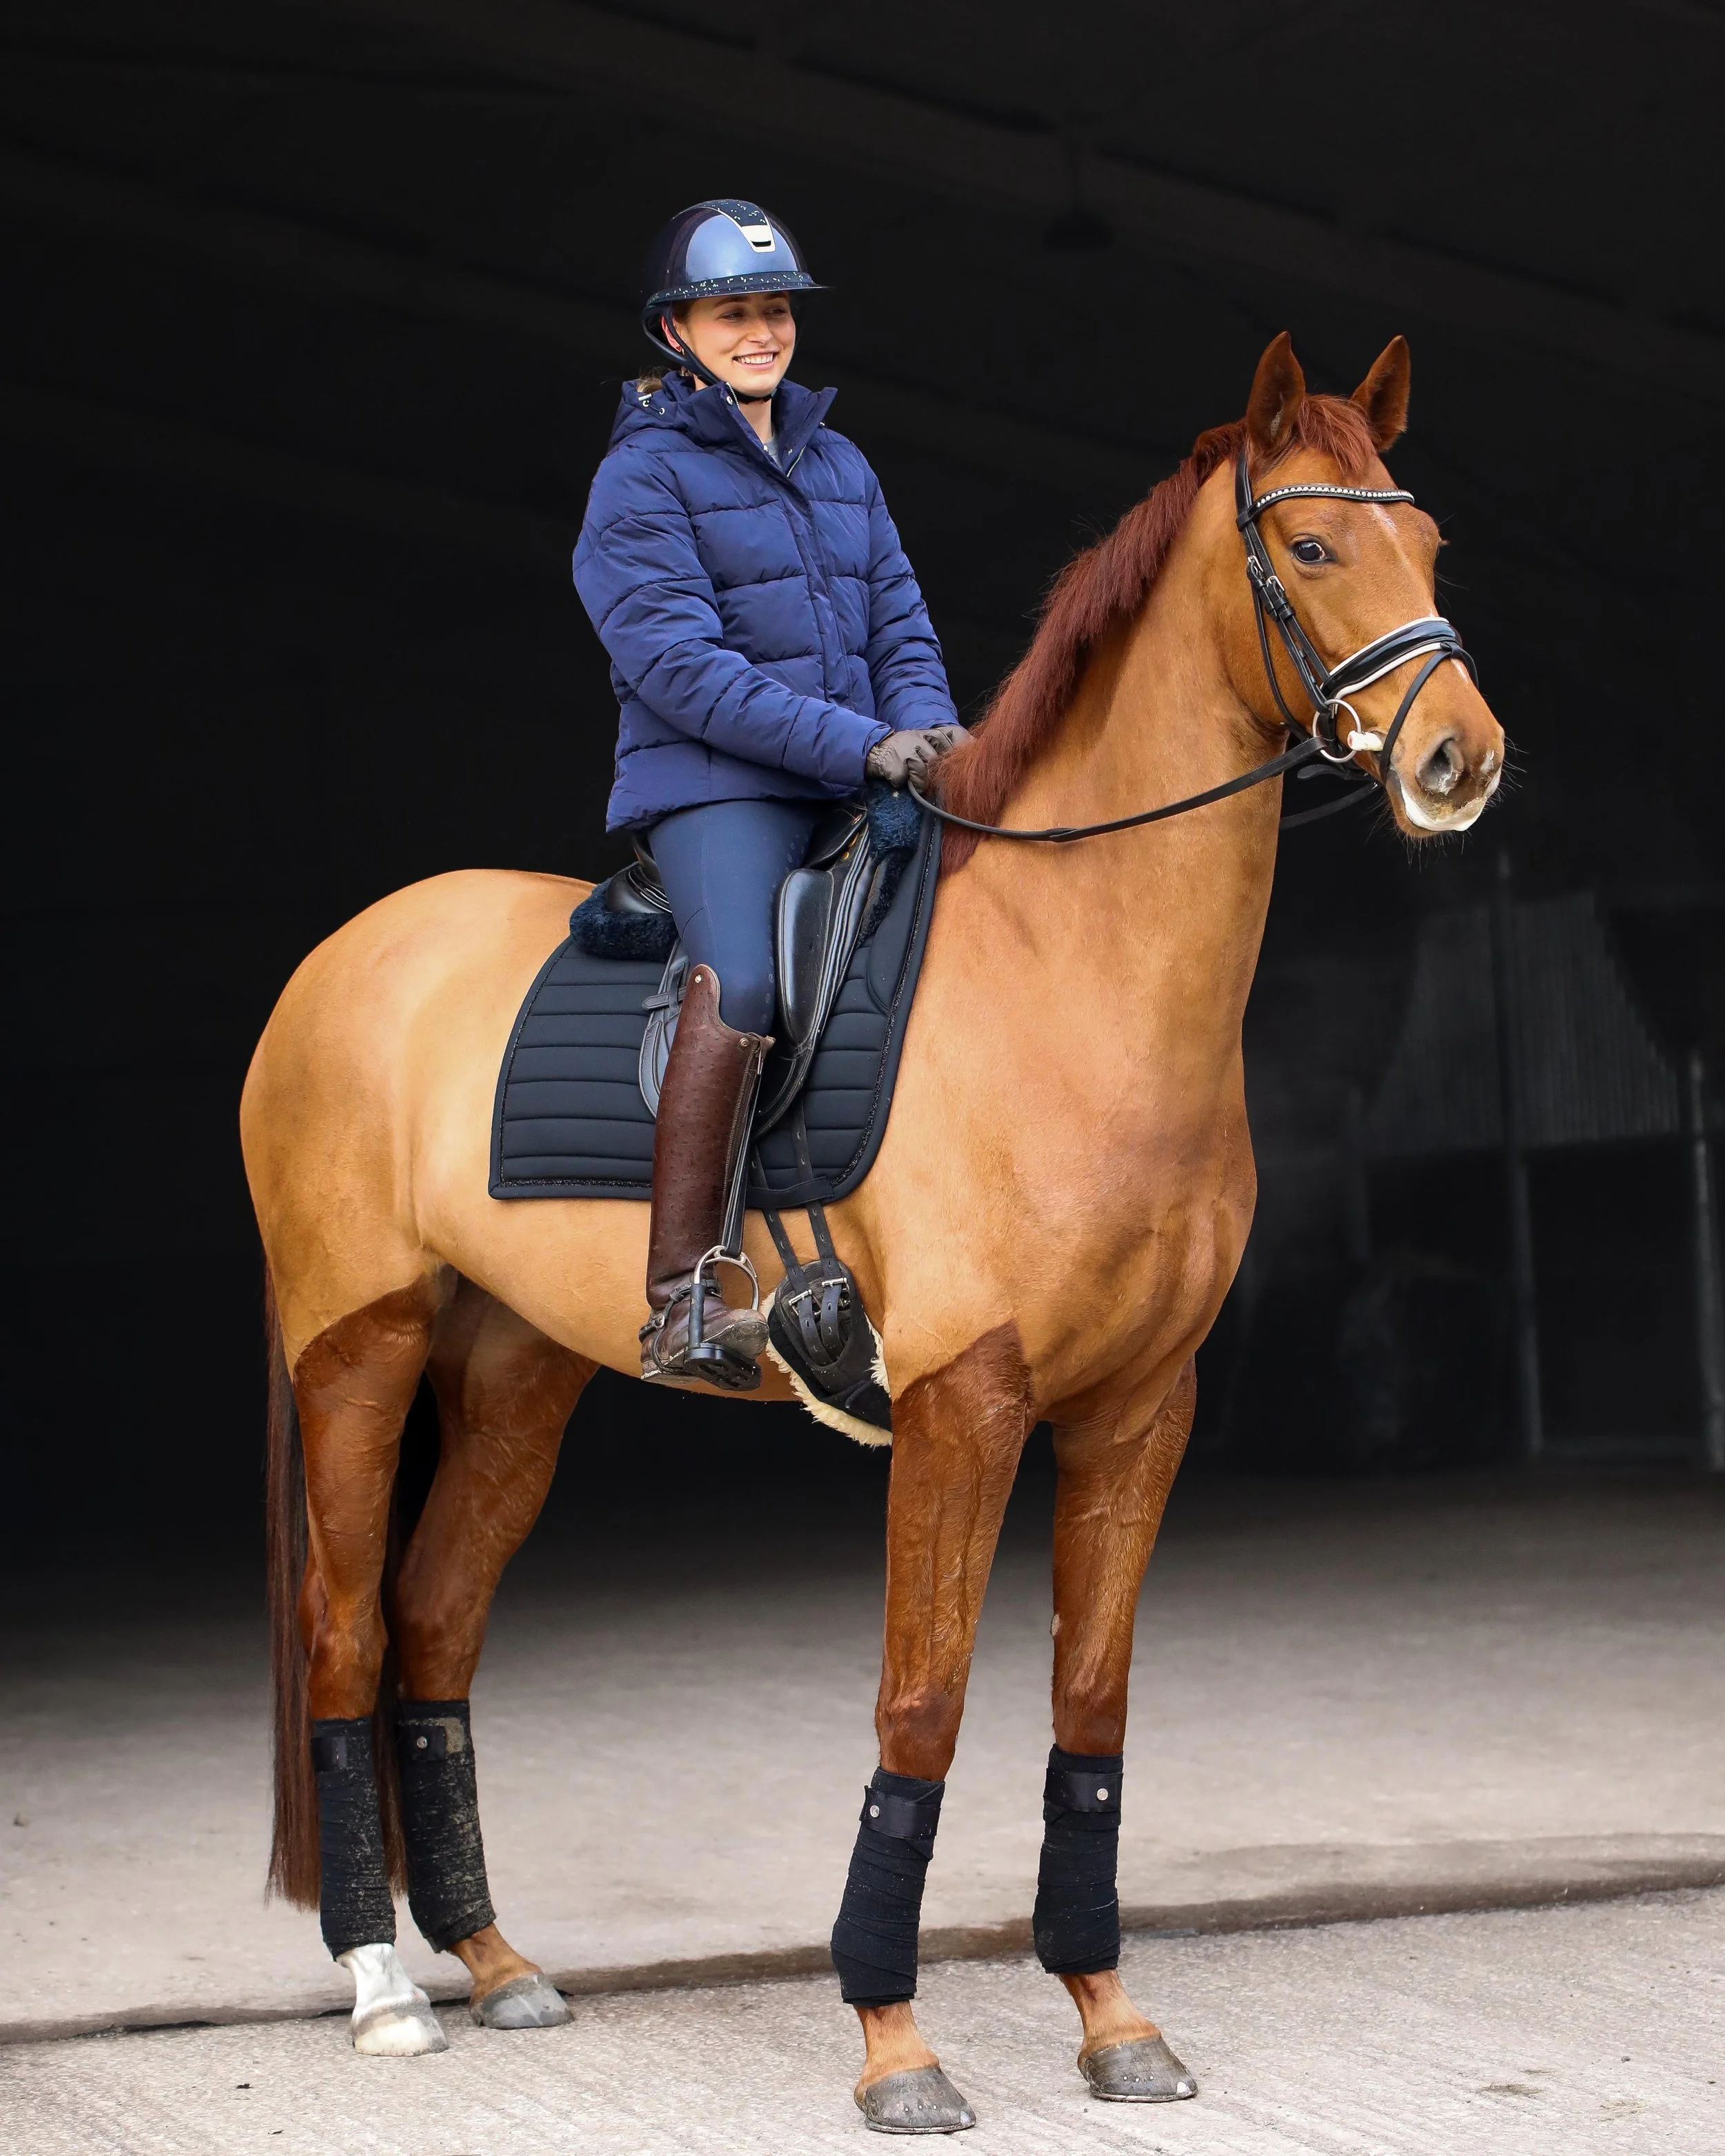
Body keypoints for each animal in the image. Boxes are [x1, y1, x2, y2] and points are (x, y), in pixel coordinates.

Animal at [243, 329, 1505, 2121]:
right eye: (1315, 546)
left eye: (1430, 542)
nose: (1458, 758)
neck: (1073, 973)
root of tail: (340, 957)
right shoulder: (962, 1402)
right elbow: (923, 1704)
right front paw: (894, 2037)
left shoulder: (1139, 1408)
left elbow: (1088, 1704)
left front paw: (1110, 2014)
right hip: (361, 1349)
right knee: (349, 1636)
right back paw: (380, 1984)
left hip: (514, 1373)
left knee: (432, 1621)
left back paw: (492, 1961)